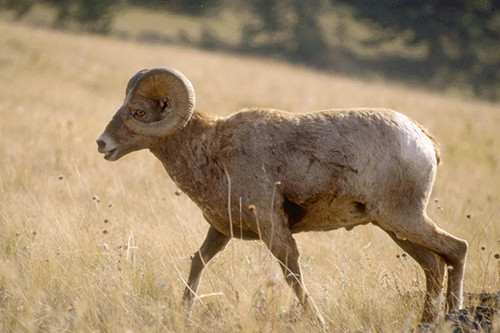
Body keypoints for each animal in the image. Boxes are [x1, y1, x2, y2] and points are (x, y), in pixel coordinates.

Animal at [96, 66, 468, 322]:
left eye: (139, 112)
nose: (102, 144)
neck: (212, 151)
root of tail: (423, 140)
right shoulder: (221, 231)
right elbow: (198, 262)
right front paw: (183, 312)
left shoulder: (273, 228)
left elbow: (292, 275)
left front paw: (319, 321)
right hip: (395, 228)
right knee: (435, 265)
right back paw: (428, 321)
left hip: (404, 219)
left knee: (457, 249)